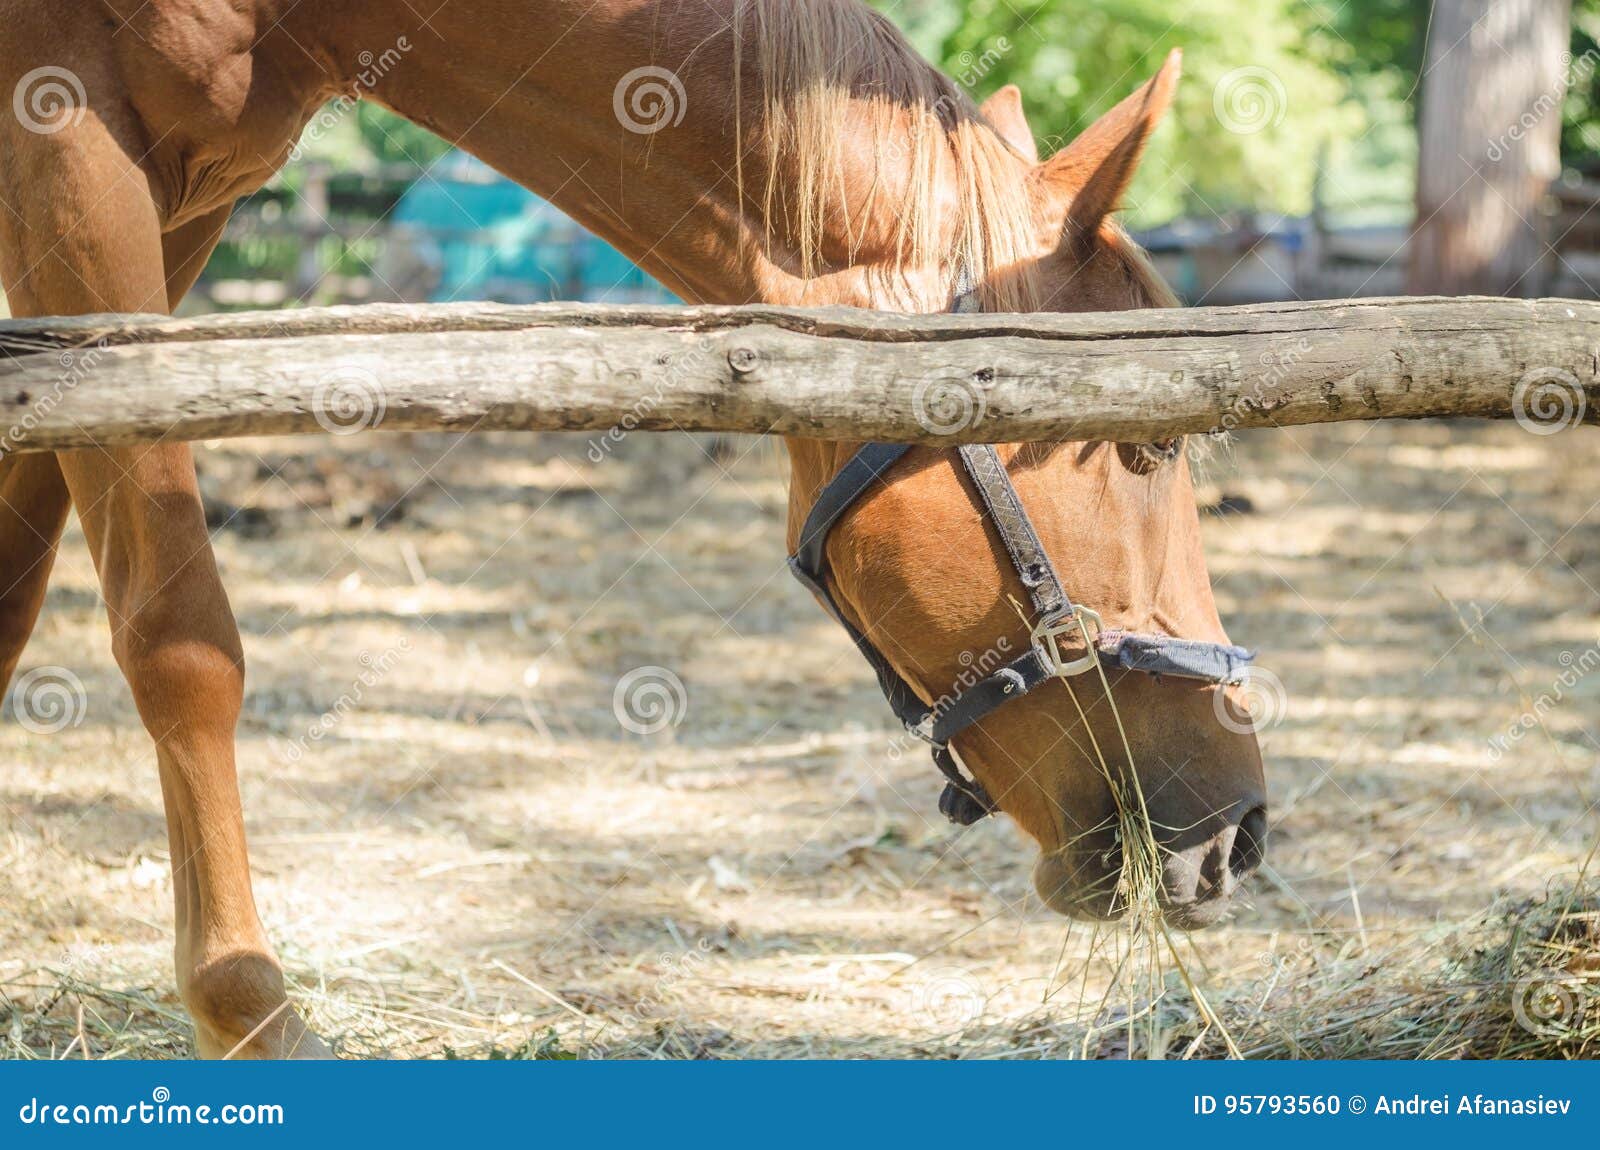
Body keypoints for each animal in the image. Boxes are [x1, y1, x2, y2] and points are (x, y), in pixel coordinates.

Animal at [0, 0, 1266, 1058]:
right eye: (1148, 445)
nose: (1237, 832)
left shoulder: (170, 204)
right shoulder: (72, 140)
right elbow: (180, 641)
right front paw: (248, 1011)